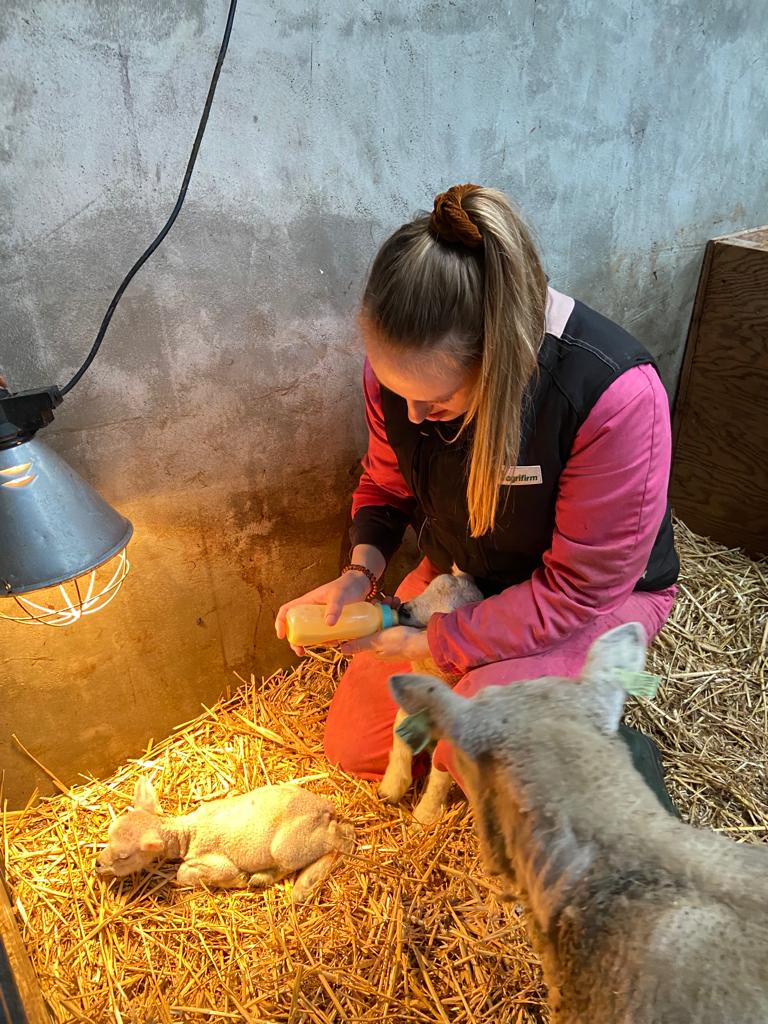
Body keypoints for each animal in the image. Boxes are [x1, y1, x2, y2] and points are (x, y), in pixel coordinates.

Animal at [96, 778, 354, 903]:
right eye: (109, 833)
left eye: (124, 856)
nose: (97, 864)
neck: (188, 833)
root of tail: (326, 807)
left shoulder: (215, 860)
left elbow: (183, 874)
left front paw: (237, 880)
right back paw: (263, 878)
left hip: (292, 843)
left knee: (343, 839)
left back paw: (303, 886)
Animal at [377, 566, 483, 826]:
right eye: (430, 586)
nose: (404, 609)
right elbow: (399, 734)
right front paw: (390, 789)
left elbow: (439, 776)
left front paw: (425, 815)